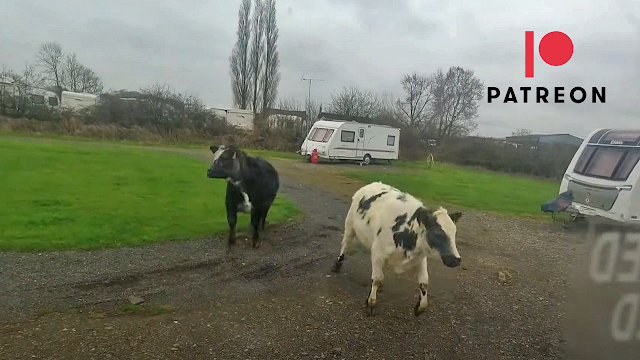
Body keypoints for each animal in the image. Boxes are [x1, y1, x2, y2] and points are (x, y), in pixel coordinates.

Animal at [332, 181, 462, 316]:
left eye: (454, 233)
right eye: (438, 234)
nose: (457, 260)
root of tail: (372, 184)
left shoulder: (420, 258)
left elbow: (424, 282)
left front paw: (420, 307)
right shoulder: (378, 253)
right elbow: (376, 278)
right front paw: (371, 303)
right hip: (350, 226)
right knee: (345, 244)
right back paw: (338, 263)